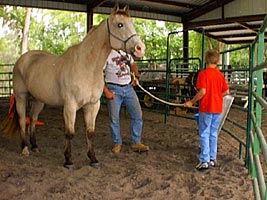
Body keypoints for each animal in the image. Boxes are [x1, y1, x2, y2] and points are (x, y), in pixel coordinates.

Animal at [0, 3, 146, 168]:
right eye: (120, 24)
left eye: (131, 23)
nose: (140, 48)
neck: (86, 67)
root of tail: (22, 59)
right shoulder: (70, 106)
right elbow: (70, 133)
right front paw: (68, 160)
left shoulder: (92, 105)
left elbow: (90, 132)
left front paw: (93, 159)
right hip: (21, 97)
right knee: (21, 120)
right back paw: (25, 149)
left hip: (39, 100)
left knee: (32, 118)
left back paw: (35, 146)